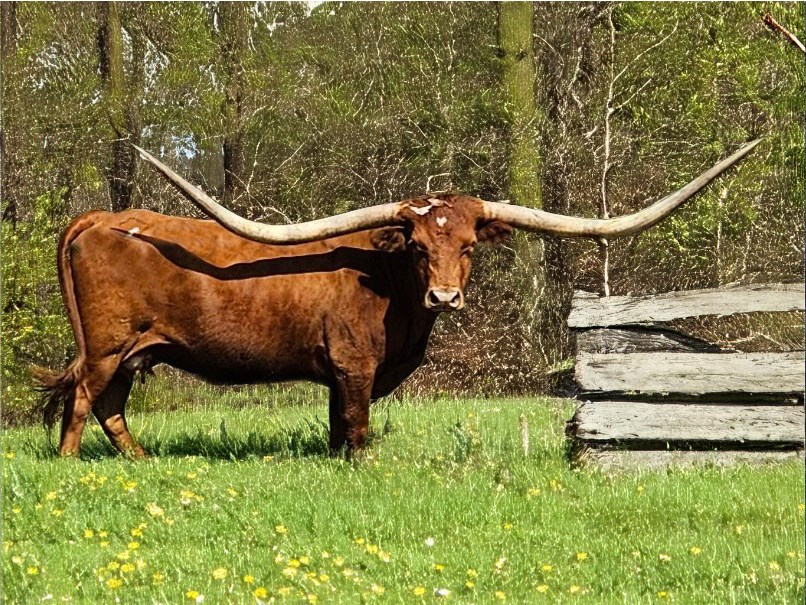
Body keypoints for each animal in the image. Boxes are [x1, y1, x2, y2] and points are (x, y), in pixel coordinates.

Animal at [35, 140, 760, 458]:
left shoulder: (340, 374)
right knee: (84, 401)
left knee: (112, 408)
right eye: (415, 246)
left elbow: (337, 427)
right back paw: (72, 468)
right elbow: (356, 427)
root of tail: (101, 217)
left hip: (133, 351)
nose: (444, 293)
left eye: (468, 245)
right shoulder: (354, 366)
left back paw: (140, 461)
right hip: (106, 346)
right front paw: (359, 466)